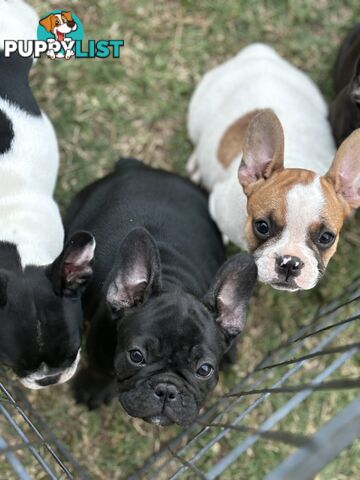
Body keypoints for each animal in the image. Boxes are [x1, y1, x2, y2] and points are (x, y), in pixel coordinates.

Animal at [66, 159, 258, 426]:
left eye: (204, 370)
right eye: (136, 356)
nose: (167, 389)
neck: (173, 278)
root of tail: (136, 168)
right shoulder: (97, 344)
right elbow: (99, 369)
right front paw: (92, 389)